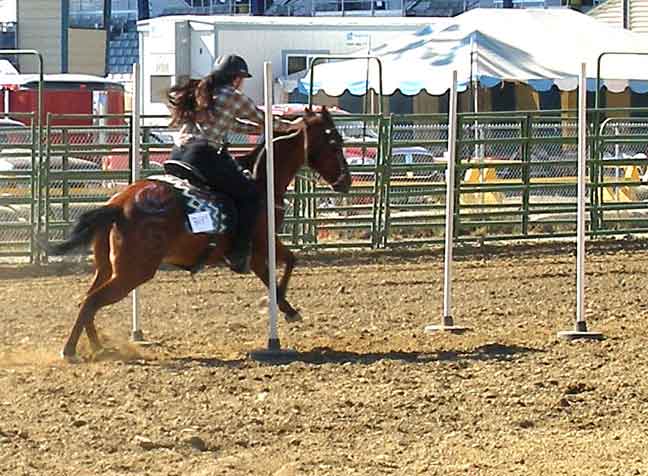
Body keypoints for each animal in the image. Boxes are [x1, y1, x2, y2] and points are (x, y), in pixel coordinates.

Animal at [51, 107, 352, 362]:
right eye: (334, 143)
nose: (346, 182)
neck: (261, 181)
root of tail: (118, 204)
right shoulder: (260, 247)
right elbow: (283, 267)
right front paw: (286, 310)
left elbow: (287, 264)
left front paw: (284, 307)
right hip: (132, 272)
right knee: (92, 301)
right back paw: (72, 351)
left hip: (107, 267)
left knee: (87, 299)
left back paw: (97, 347)